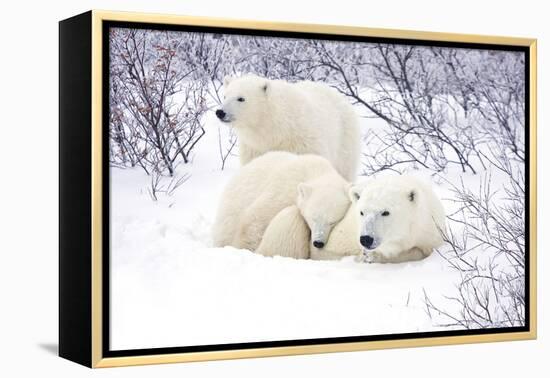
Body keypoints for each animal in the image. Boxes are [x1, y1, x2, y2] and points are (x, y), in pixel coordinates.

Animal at [213, 151, 352, 254]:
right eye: (313, 218)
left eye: (333, 222)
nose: (318, 242)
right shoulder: (282, 191)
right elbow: (256, 218)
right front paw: (245, 248)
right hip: (231, 210)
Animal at [215, 74, 362, 181]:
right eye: (225, 95)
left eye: (241, 98)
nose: (220, 112)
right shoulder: (254, 148)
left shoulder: (303, 144)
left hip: (344, 139)